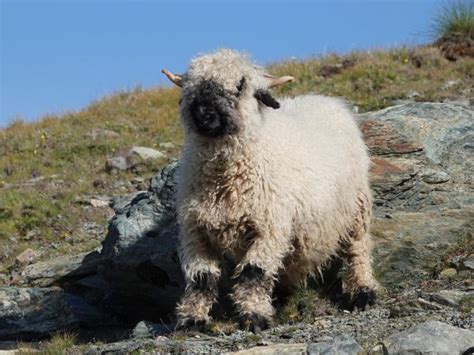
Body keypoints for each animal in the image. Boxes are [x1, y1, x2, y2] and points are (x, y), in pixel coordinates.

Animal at [163, 49, 378, 334]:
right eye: (189, 84)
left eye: (240, 85)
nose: (204, 115)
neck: (224, 182)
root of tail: (324, 100)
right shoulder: (195, 232)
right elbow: (201, 278)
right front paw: (191, 319)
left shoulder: (270, 228)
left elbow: (254, 273)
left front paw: (254, 316)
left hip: (357, 208)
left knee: (358, 250)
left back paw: (363, 292)